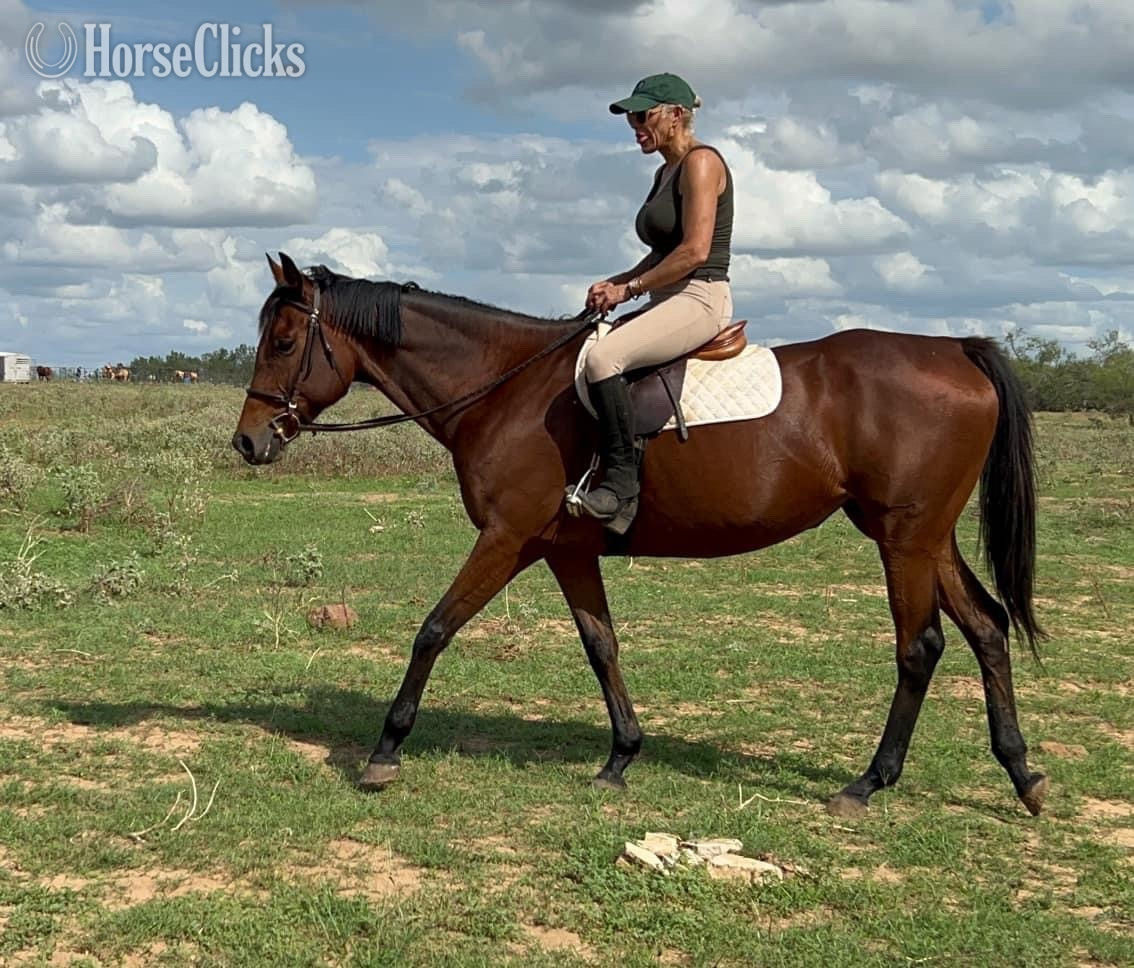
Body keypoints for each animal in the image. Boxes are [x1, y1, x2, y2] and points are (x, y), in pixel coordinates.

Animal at [233, 253, 1048, 818]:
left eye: (284, 341)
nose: (247, 442)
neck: (507, 388)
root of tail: (954, 350)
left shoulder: (507, 539)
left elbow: (434, 629)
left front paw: (384, 751)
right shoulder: (565, 551)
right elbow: (602, 645)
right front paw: (621, 757)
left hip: (903, 539)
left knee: (921, 647)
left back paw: (868, 783)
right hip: (926, 537)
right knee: (986, 627)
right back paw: (1021, 772)